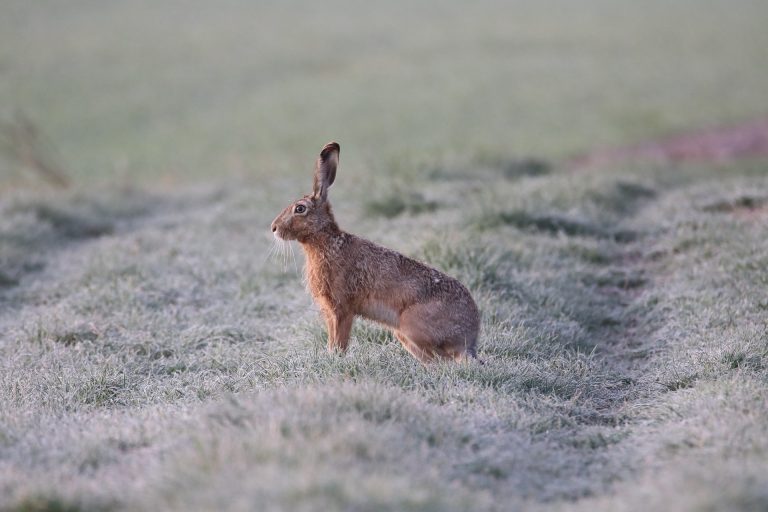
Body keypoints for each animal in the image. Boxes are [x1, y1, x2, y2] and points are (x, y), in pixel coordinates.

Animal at [271, 142, 481, 364]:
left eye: (300, 209)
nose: (274, 228)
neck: (325, 242)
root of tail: (469, 339)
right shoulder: (331, 312)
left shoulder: (341, 309)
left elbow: (339, 341)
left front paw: (336, 359)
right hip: (403, 335)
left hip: (411, 327)